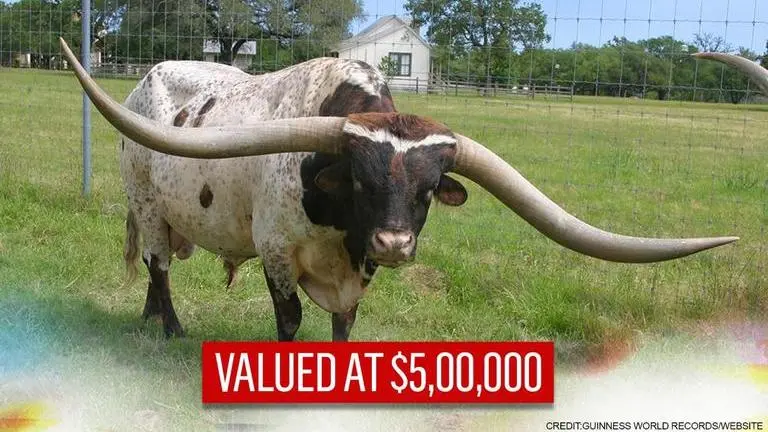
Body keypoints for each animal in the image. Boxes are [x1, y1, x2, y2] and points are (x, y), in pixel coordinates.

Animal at [59, 38, 738, 341]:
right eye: (361, 180)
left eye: (430, 188)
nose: (392, 242)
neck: (342, 230)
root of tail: (146, 80)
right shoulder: (277, 253)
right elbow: (290, 319)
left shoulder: (357, 270)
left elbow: (345, 322)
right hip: (145, 200)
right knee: (159, 263)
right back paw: (171, 329)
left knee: (158, 267)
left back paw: (151, 317)